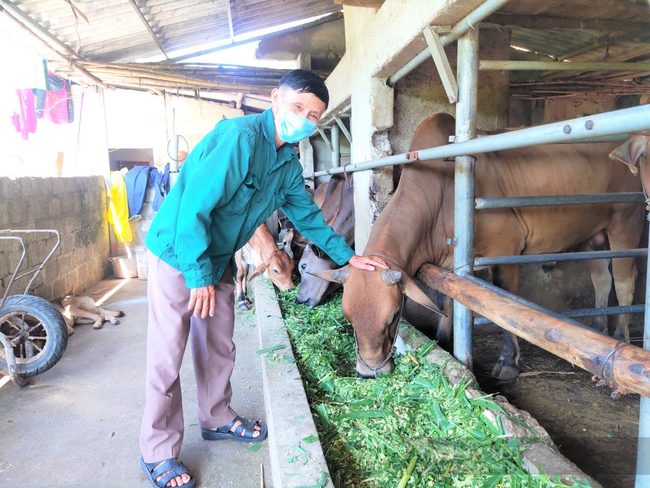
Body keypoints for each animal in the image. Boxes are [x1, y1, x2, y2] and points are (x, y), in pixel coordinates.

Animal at [316, 113, 644, 382]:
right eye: (348, 316)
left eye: (395, 315)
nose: (370, 371)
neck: (440, 194)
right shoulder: (449, 266)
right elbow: (447, 304)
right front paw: (445, 343)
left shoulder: (506, 251)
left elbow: (504, 307)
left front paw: (508, 361)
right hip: (594, 233)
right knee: (601, 277)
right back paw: (599, 327)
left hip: (626, 221)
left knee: (625, 281)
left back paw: (621, 338)